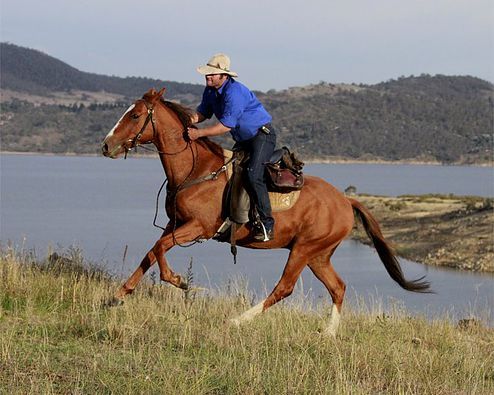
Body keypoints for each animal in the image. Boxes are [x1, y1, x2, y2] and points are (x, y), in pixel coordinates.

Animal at [100, 87, 428, 338]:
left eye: (135, 115)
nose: (105, 145)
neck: (196, 170)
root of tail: (346, 201)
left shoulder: (198, 227)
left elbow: (159, 249)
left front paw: (181, 281)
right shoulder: (175, 224)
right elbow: (151, 252)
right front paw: (118, 296)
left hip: (304, 250)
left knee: (284, 288)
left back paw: (237, 319)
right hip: (318, 255)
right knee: (338, 287)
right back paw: (329, 333)